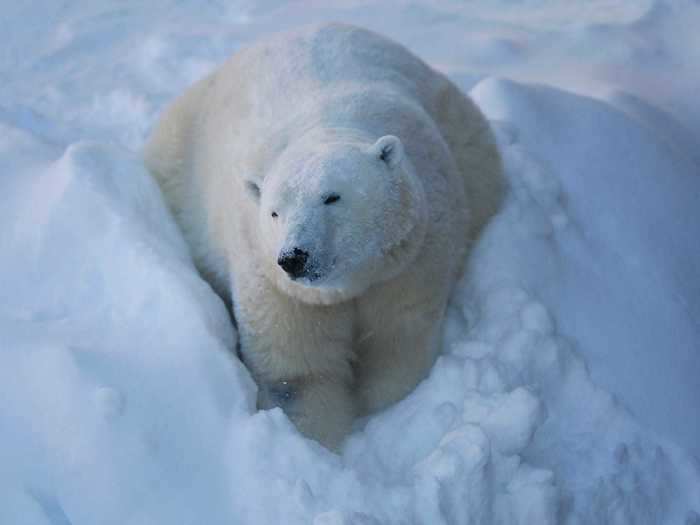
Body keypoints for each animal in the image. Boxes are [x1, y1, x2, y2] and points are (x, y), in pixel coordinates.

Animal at [145, 21, 504, 446]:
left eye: (332, 197)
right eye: (274, 212)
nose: (294, 257)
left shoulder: (410, 260)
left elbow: (397, 340)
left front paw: (375, 406)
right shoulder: (276, 283)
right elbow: (298, 373)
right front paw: (318, 438)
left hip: (463, 131)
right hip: (177, 161)